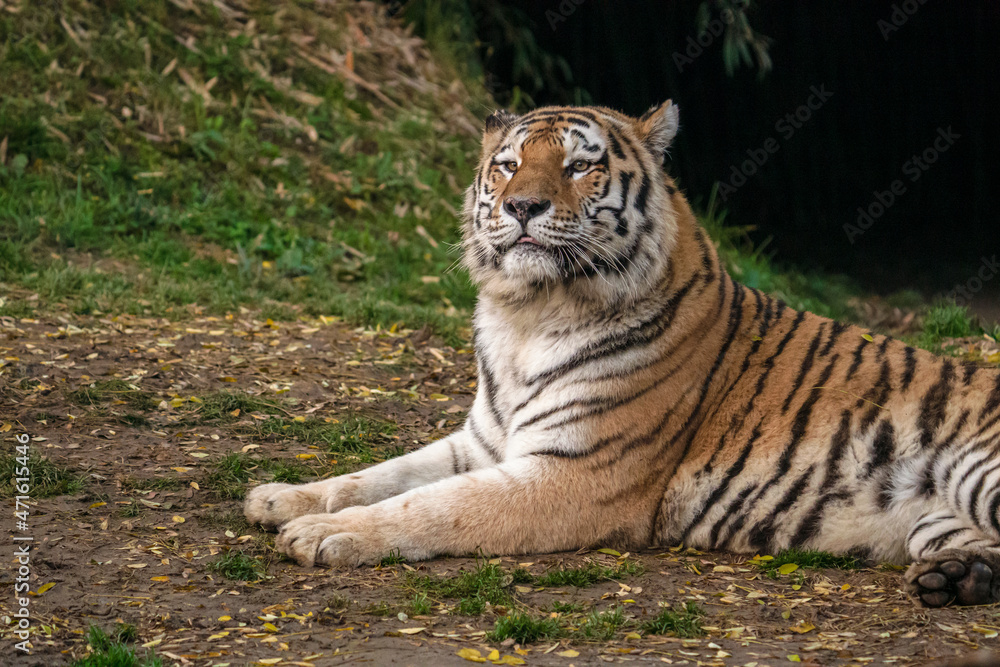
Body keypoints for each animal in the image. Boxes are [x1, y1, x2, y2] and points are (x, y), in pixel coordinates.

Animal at [245, 101, 1000, 608]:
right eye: (508, 165)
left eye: (580, 165)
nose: (521, 206)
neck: (527, 314)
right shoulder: (484, 441)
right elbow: (381, 473)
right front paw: (280, 497)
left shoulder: (576, 473)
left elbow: (434, 506)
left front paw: (321, 534)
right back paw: (955, 578)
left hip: (977, 473)